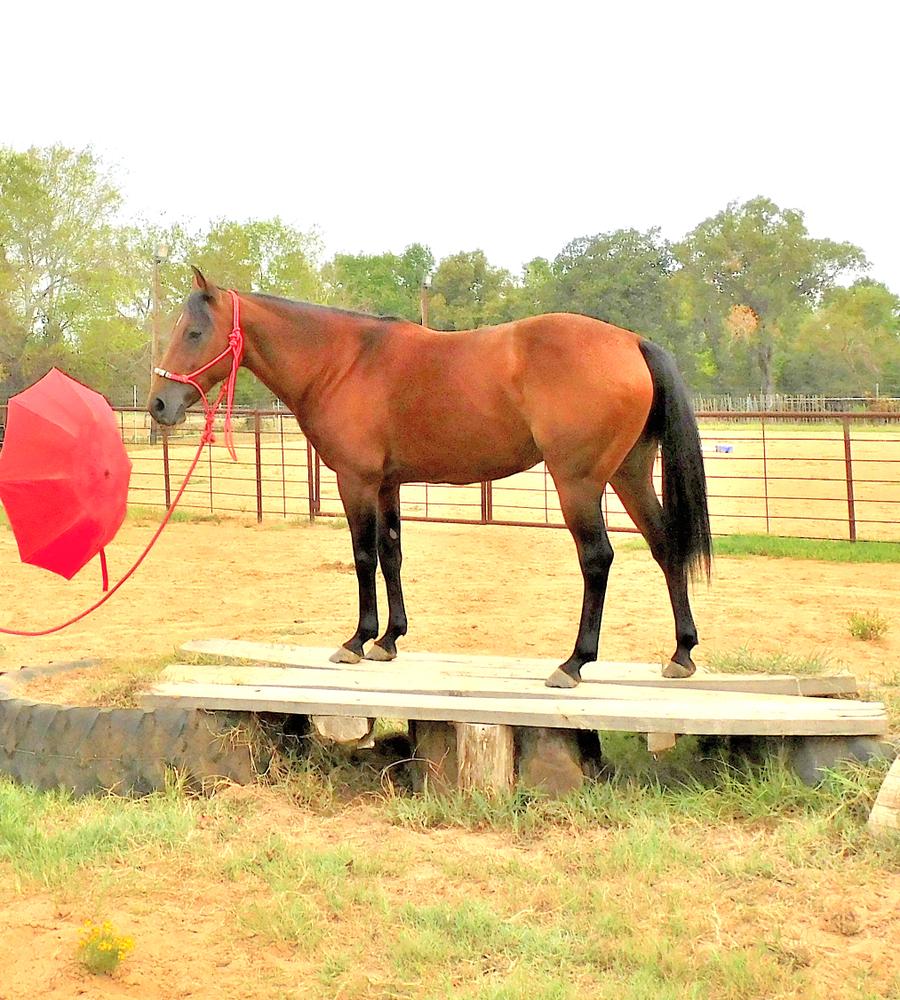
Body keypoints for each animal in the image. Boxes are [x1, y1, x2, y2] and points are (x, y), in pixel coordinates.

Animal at [149, 268, 712, 688]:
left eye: (195, 332)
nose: (159, 405)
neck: (342, 361)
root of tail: (633, 342)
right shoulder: (387, 483)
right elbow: (392, 554)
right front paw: (388, 640)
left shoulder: (355, 481)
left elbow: (363, 555)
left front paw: (357, 640)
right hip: (629, 473)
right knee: (665, 546)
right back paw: (681, 653)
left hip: (579, 482)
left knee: (597, 558)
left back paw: (573, 663)